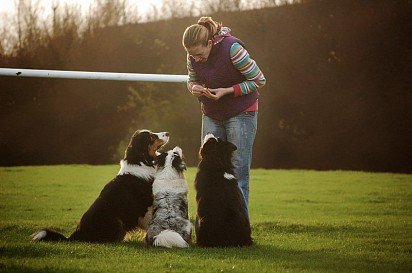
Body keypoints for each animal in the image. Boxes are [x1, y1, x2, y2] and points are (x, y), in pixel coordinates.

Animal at [30, 130, 169, 242]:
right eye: (151, 137)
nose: (167, 133)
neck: (141, 161)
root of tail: (75, 234)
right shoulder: (145, 204)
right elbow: (151, 221)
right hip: (115, 220)